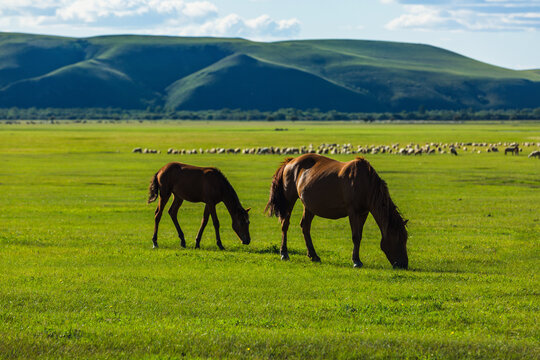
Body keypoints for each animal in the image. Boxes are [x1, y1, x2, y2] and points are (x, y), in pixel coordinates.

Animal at [266, 153, 410, 268]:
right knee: (285, 225)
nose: (404, 265)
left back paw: (313, 256)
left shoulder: (363, 213)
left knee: (305, 226)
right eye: (398, 239)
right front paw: (356, 261)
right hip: (289, 200)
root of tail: (291, 161)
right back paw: (284, 253)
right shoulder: (353, 212)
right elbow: (356, 236)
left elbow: (359, 236)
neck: (365, 183)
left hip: (309, 206)